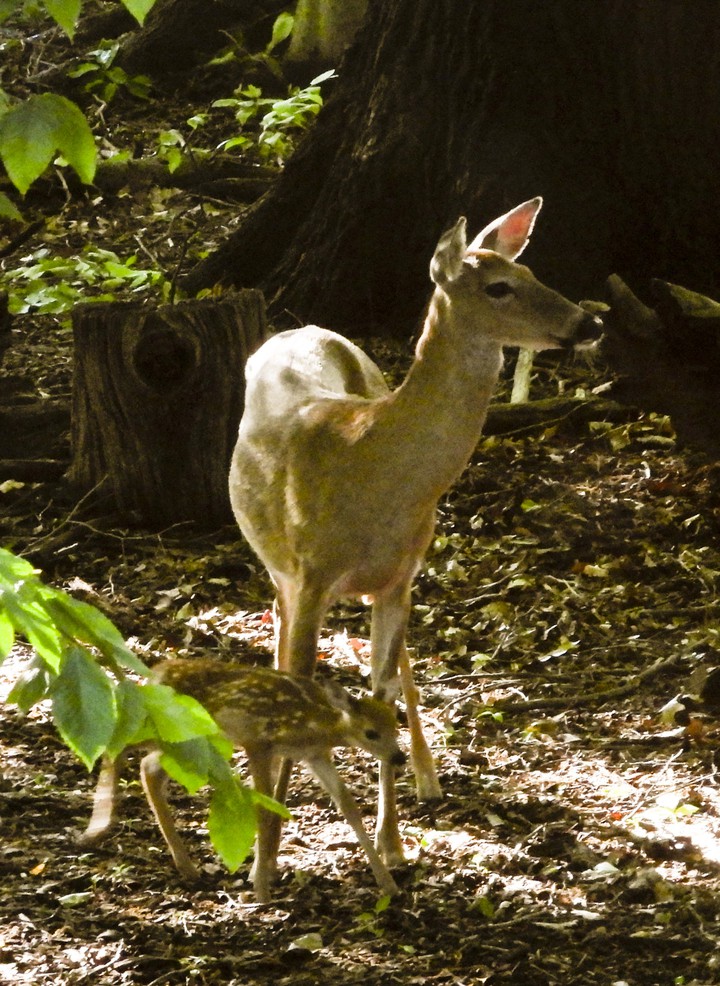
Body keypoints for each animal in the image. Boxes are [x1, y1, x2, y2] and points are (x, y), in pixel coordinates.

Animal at [79, 659, 406, 902]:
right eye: (371, 733)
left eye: (396, 724)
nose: (399, 758)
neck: (313, 724)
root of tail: (154, 674)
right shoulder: (258, 741)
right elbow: (264, 809)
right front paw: (260, 890)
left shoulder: (314, 755)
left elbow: (348, 806)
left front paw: (388, 884)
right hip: (170, 726)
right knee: (120, 744)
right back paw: (96, 829)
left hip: (188, 737)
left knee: (147, 767)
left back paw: (186, 866)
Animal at [228, 197, 601, 870]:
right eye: (499, 287)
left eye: (532, 272)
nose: (590, 322)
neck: (372, 463)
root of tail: (299, 329)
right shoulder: (312, 574)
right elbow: (304, 681)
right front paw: (265, 854)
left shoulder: (400, 576)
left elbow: (381, 686)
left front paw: (394, 845)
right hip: (279, 560)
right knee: (279, 627)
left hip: (391, 576)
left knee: (394, 664)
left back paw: (427, 775)